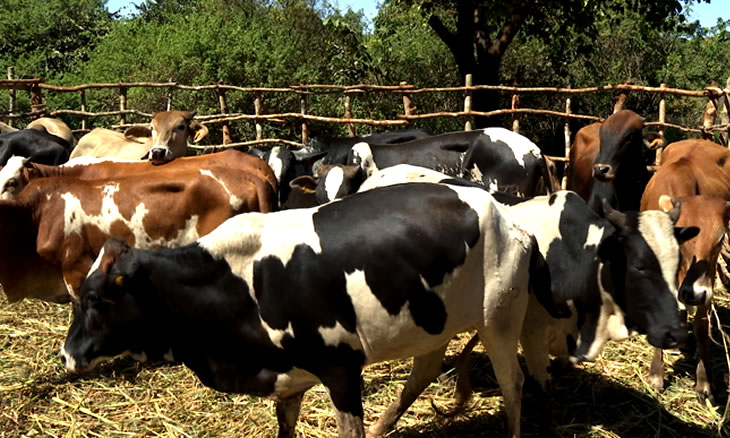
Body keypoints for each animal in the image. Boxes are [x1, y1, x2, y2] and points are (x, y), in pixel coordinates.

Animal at [62, 182, 549, 438]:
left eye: (94, 299)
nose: (67, 355)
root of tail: (502, 210)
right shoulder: (288, 380)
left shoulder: (341, 370)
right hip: (432, 321)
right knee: (424, 372)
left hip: (499, 319)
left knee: (513, 384)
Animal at [639, 138, 730, 404]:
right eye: (680, 232)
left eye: (720, 237)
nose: (693, 293)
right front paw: (656, 375)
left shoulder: (707, 282)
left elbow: (701, 325)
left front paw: (704, 382)